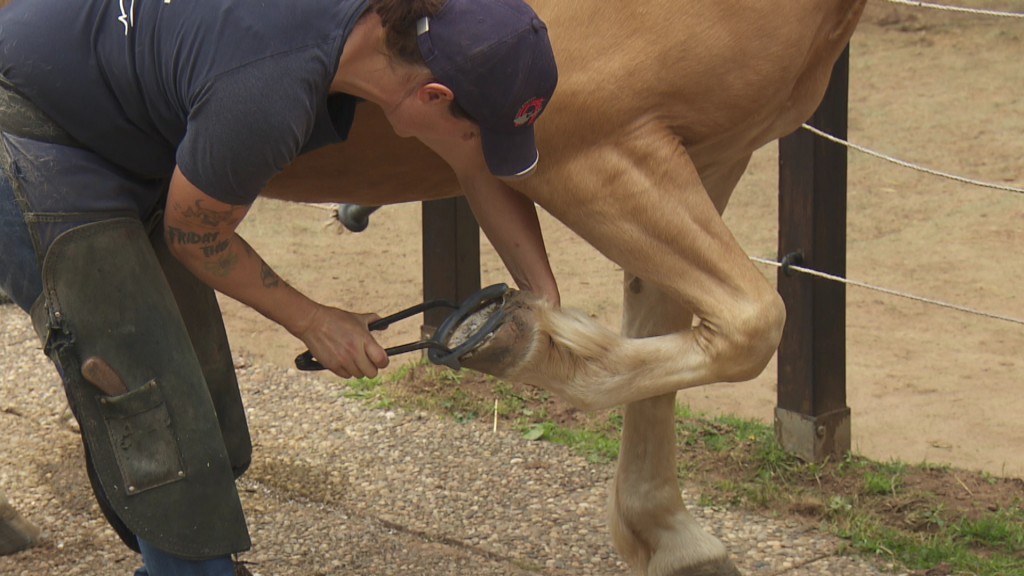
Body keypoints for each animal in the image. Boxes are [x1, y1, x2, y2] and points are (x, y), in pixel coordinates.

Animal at [262, 2, 864, 569]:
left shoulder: (711, 158)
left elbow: (677, 342)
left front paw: (670, 536)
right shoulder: (594, 153)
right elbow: (751, 324)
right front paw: (540, 348)